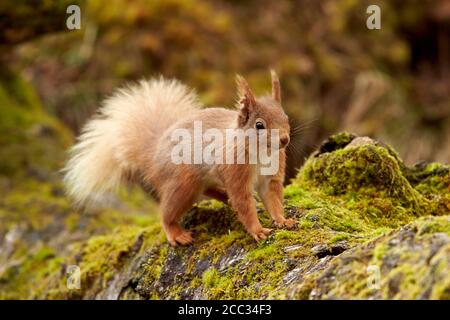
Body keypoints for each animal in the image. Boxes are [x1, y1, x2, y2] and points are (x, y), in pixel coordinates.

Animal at [63, 70, 296, 245]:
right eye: (259, 125)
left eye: (286, 117)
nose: (284, 140)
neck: (263, 152)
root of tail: (153, 155)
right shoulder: (235, 172)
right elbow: (244, 204)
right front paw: (258, 231)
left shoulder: (271, 177)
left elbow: (273, 200)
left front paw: (283, 221)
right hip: (183, 184)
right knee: (166, 212)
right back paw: (176, 233)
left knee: (208, 190)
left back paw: (222, 195)